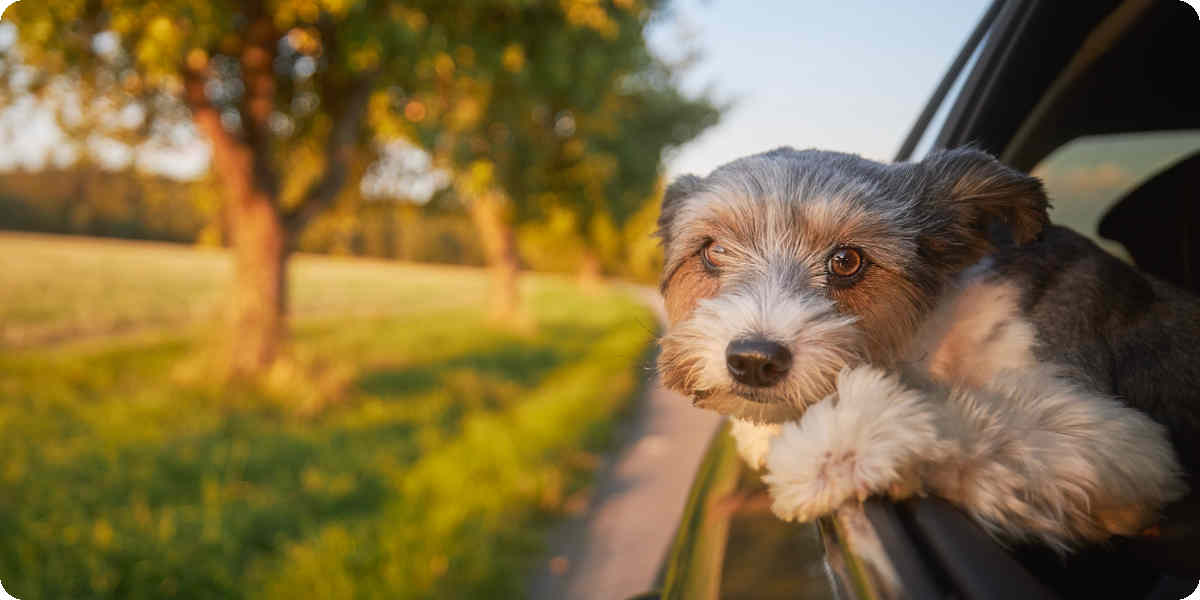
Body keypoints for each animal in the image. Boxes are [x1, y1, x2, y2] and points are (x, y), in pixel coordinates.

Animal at [657, 146, 1200, 552]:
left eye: (847, 260)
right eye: (714, 251)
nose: (752, 360)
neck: (935, 329)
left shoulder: (1120, 444)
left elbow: (982, 416)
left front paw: (839, 445)